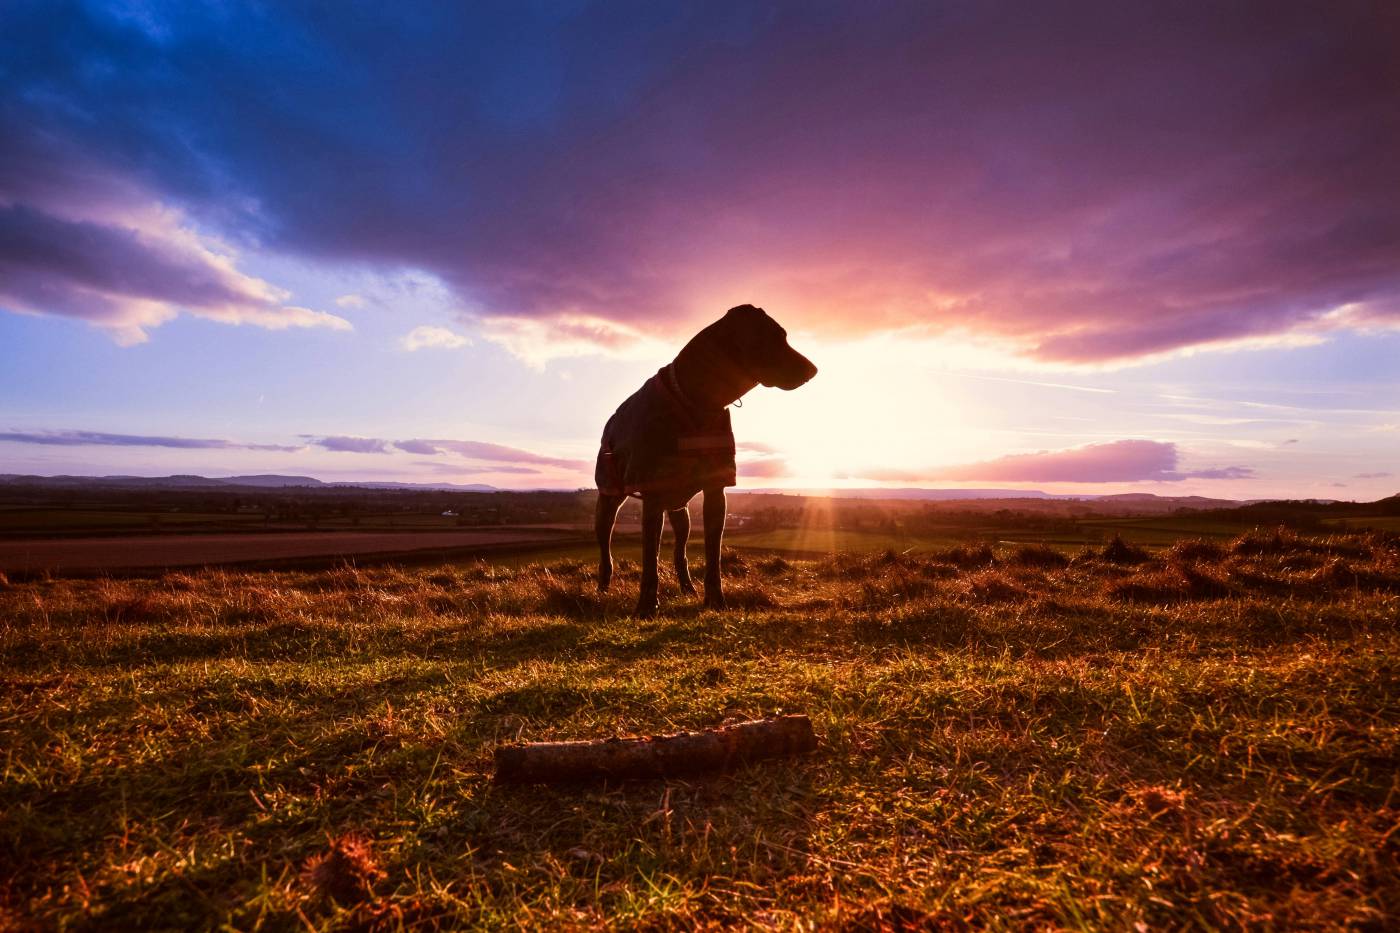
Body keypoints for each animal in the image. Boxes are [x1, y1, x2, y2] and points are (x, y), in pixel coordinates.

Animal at [593, 301, 817, 613]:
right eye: (776, 337)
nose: (814, 370)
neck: (699, 400)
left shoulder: (715, 490)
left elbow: (713, 556)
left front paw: (716, 601)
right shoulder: (652, 493)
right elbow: (650, 558)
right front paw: (647, 607)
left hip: (681, 512)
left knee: (680, 551)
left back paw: (687, 588)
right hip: (609, 499)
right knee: (606, 550)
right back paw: (603, 588)